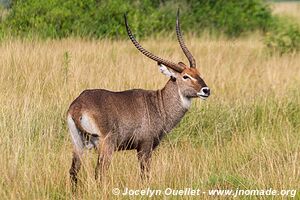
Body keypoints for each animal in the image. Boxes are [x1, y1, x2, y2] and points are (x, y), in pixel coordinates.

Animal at [67, 10, 210, 188]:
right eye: (185, 76)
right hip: (106, 146)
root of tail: (78, 106)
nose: (206, 90)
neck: (159, 103)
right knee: (99, 173)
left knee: (73, 172)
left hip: (77, 145)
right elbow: (145, 175)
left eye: (198, 73)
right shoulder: (145, 147)